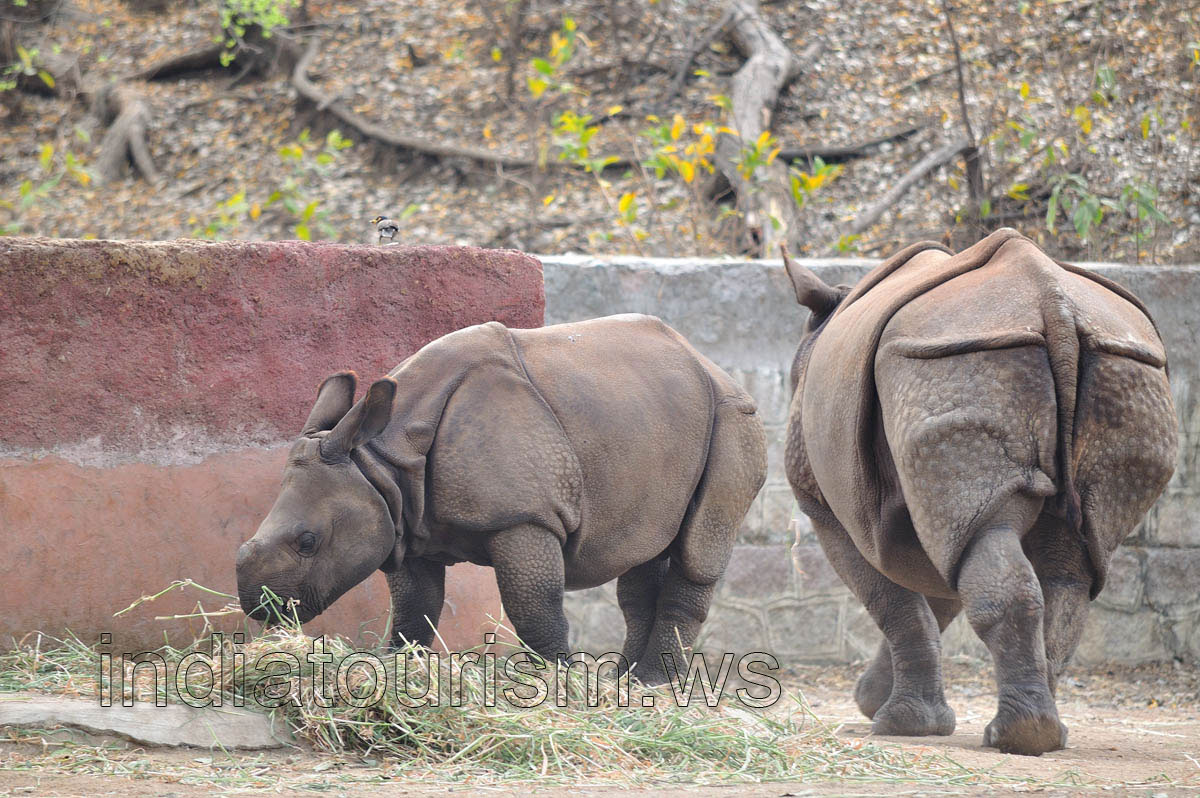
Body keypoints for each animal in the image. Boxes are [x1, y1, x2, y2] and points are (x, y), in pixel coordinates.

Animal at [236, 314, 767, 684]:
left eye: (308, 542)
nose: (258, 606)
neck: (382, 456)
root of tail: (712, 364)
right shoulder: (403, 517)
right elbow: (414, 608)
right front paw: (396, 668)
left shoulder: (524, 517)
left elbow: (533, 606)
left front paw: (560, 685)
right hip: (651, 421)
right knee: (647, 549)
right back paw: (627, 683)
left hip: (734, 419)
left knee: (698, 550)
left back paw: (657, 686)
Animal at [781, 228, 1177, 755]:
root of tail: (1052, 302)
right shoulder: (926, 499)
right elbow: (937, 593)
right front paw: (874, 699)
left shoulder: (825, 509)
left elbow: (895, 600)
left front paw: (900, 723)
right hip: (1122, 369)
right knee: (1063, 558)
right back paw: (1042, 736)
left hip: (949, 360)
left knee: (987, 542)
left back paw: (1007, 737)